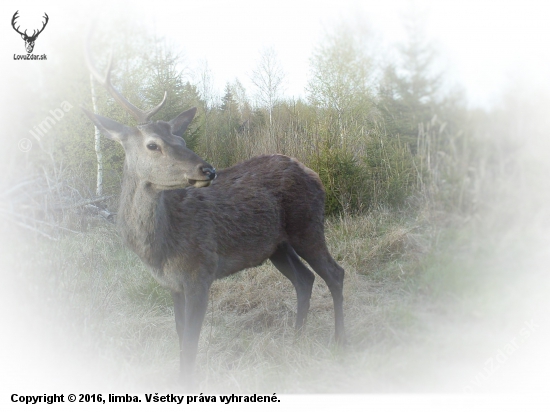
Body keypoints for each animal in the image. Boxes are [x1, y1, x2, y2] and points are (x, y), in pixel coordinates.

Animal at [83, 36, 344, 390]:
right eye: (153, 144)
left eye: (180, 139)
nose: (208, 169)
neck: (157, 249)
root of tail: (314, 174)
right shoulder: (173, 284)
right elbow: (180, 335)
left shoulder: (200, 273)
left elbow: (191, 341)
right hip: (276, 246)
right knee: (305, 279)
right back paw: (296, 341)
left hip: (308, 227)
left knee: (335, 273)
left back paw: (340, 341)